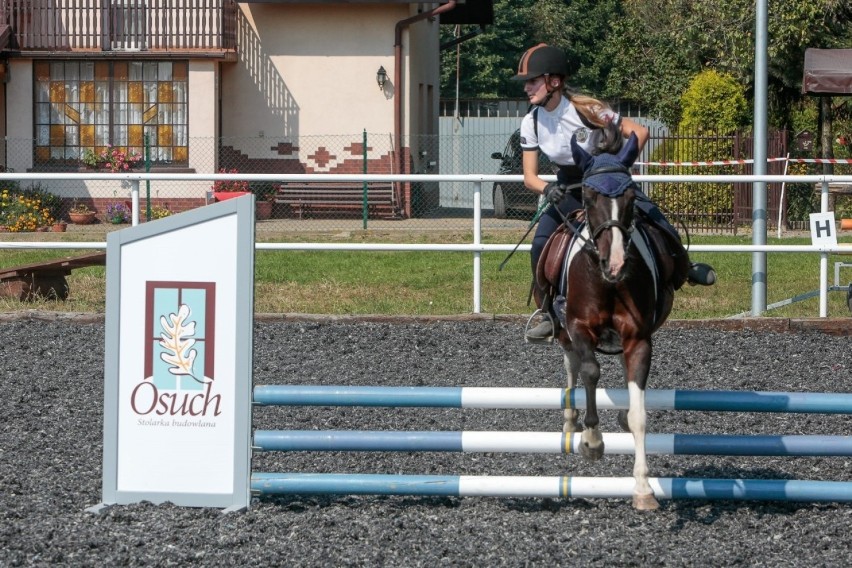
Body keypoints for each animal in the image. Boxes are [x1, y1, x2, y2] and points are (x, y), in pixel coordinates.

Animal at [540, 129, 684, 510]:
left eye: (631, 196)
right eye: (590, 197)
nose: (616, 263)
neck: (607, 281)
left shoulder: (638, 338)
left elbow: (639, 414)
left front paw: (643, 489)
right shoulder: (578, 327)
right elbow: (590, 372)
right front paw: (592, 440)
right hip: (563, 331)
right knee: (573, 367)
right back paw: (570, 423)